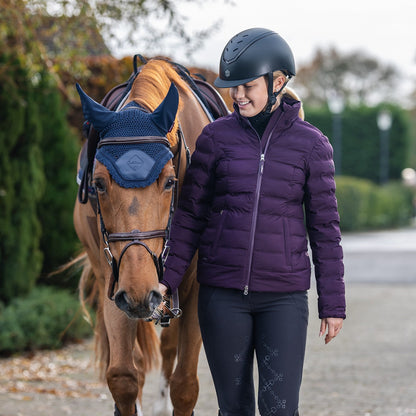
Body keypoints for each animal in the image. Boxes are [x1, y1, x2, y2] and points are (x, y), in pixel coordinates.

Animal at [73, 59, 213, 416]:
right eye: (98, 183)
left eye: (170, 181)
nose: (138, 291)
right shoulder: (115, 280)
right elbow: (123, 376)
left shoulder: (195, 289)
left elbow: (185, 385)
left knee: (169, 349)